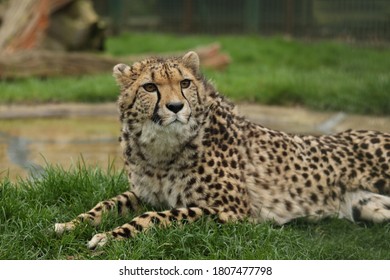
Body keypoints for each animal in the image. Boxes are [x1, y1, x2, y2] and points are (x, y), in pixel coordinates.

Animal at [55, 51, 390, 248]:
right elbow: (106, 204)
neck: (162, 148)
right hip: (368, 207)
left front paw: (110, 236)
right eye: (150, 87)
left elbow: (160, 217)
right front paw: (71, 223)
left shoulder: (233, 210)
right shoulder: (144, 193)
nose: (175, 107)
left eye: (185, 83)